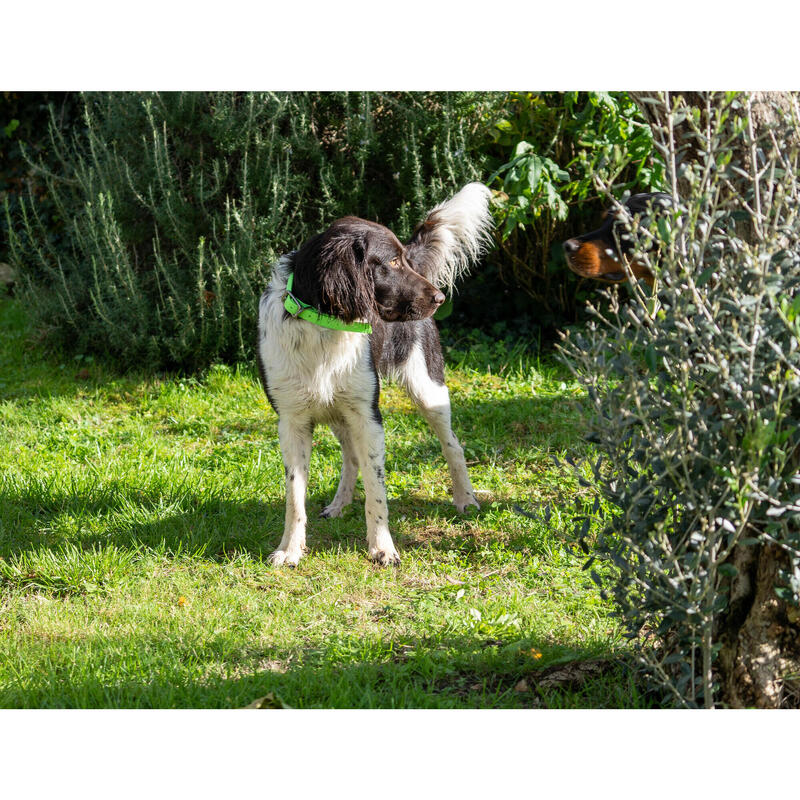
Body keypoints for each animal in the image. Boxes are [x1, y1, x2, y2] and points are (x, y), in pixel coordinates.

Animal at [256, 184, 494, 564]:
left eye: (403, 259)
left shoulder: (369, 417)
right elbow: (295, 496)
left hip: (428, 390)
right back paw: (338, 505)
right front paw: (290, 550)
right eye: (393, 262)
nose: (440, 298)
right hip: (339, 413)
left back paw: (465, 499)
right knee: (350, 458)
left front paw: (382, 547)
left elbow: (376, 489)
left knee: (453, 446)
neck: (324, 327)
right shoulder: (292, 422)